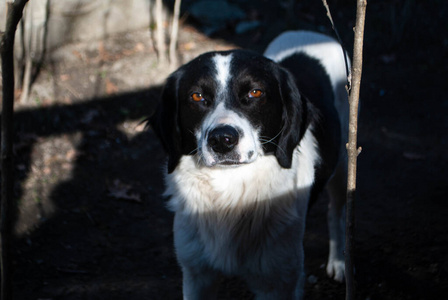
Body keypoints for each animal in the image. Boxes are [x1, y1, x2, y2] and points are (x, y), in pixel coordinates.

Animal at [152, 31, 348, 300]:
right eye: (197, 96)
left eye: (255, 93)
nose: (222, 140)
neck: (230, 191)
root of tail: (311, 33)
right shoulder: (196, 275)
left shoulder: (275, 281)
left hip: (344, 162)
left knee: (336, 212)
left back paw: (339, 261)